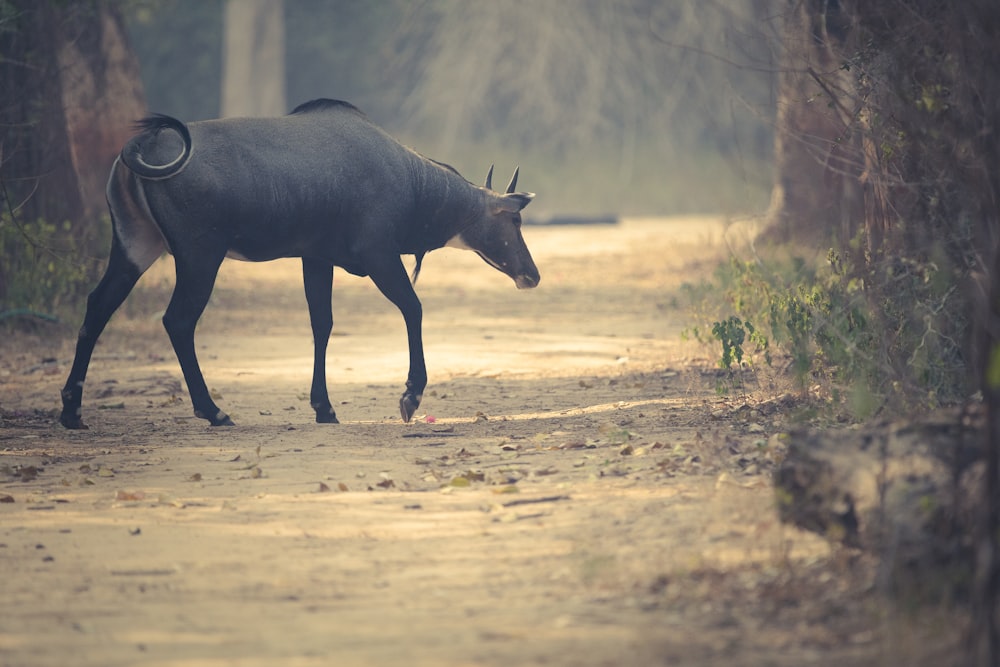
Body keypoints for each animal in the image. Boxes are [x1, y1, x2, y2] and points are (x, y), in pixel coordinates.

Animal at [58, 100, 540, 434]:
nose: (531, 274)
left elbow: (321, 324)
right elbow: (413, 307)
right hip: (199, 253)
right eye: (514, 221)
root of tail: (139, 147)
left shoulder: (317, 257)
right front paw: (409, 396)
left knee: (97, 306)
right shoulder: (378, 253)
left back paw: (71, 410)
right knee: (177, 319)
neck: (413, 185)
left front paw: (324, 408)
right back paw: (214, 411)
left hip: (135, 243)